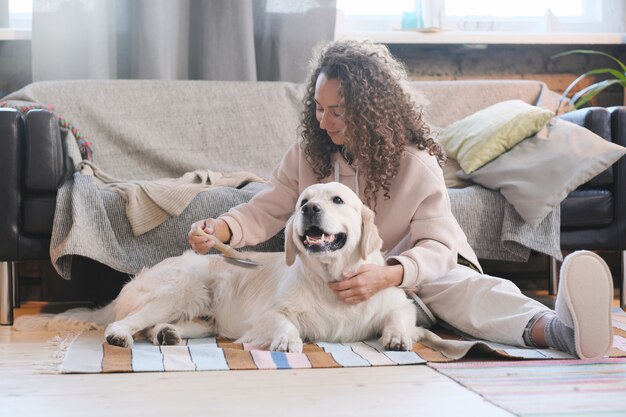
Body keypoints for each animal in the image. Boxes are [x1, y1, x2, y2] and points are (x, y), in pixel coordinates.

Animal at [17, 182, 422, 352]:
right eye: (302, 201)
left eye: (337, 199)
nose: (309, 209)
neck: (328, 276)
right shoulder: (267, 313)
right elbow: (284, 322)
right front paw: (288, 340)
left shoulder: (396, 302)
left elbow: (400, 317)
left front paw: (397, 337)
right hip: (186, 285)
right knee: (128, 322)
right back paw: (121, 336)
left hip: (200, 307)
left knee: (160, 327)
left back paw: (168, 334)